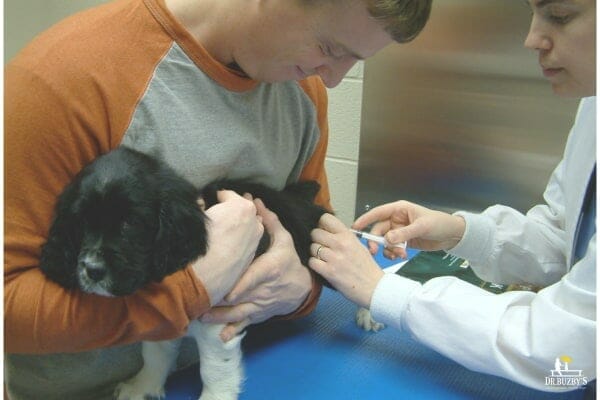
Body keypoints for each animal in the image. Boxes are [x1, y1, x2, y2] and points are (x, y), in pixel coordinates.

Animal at [40, 147, 328, 400]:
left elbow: (215, 369)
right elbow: (155, 354)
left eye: (130, 223)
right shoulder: (163, 320)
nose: (93, 269)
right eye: (80, 222)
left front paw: (214, 397)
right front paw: (144, 386)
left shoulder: (219, 323)